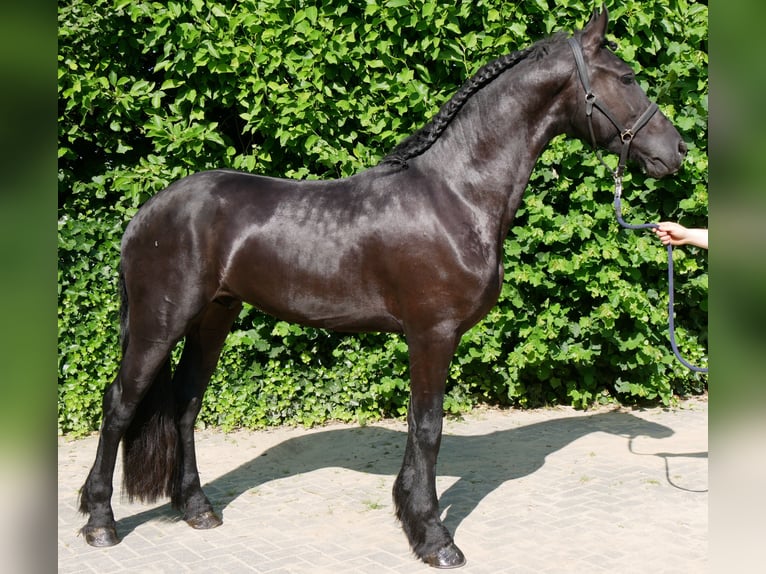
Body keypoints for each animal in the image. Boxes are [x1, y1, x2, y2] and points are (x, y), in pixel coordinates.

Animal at [78, 7, 686, 568]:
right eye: (627, 76)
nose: (677, 151)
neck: (455, 194)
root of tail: (146, 214)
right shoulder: (433, 334)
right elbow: (428, 427)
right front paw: (434, 537)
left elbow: (419, 428)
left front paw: (413, 519)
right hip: (161, 322)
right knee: (120, 402)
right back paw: (100, 521)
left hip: (214, 316)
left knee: (185, 403)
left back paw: (197, 509)